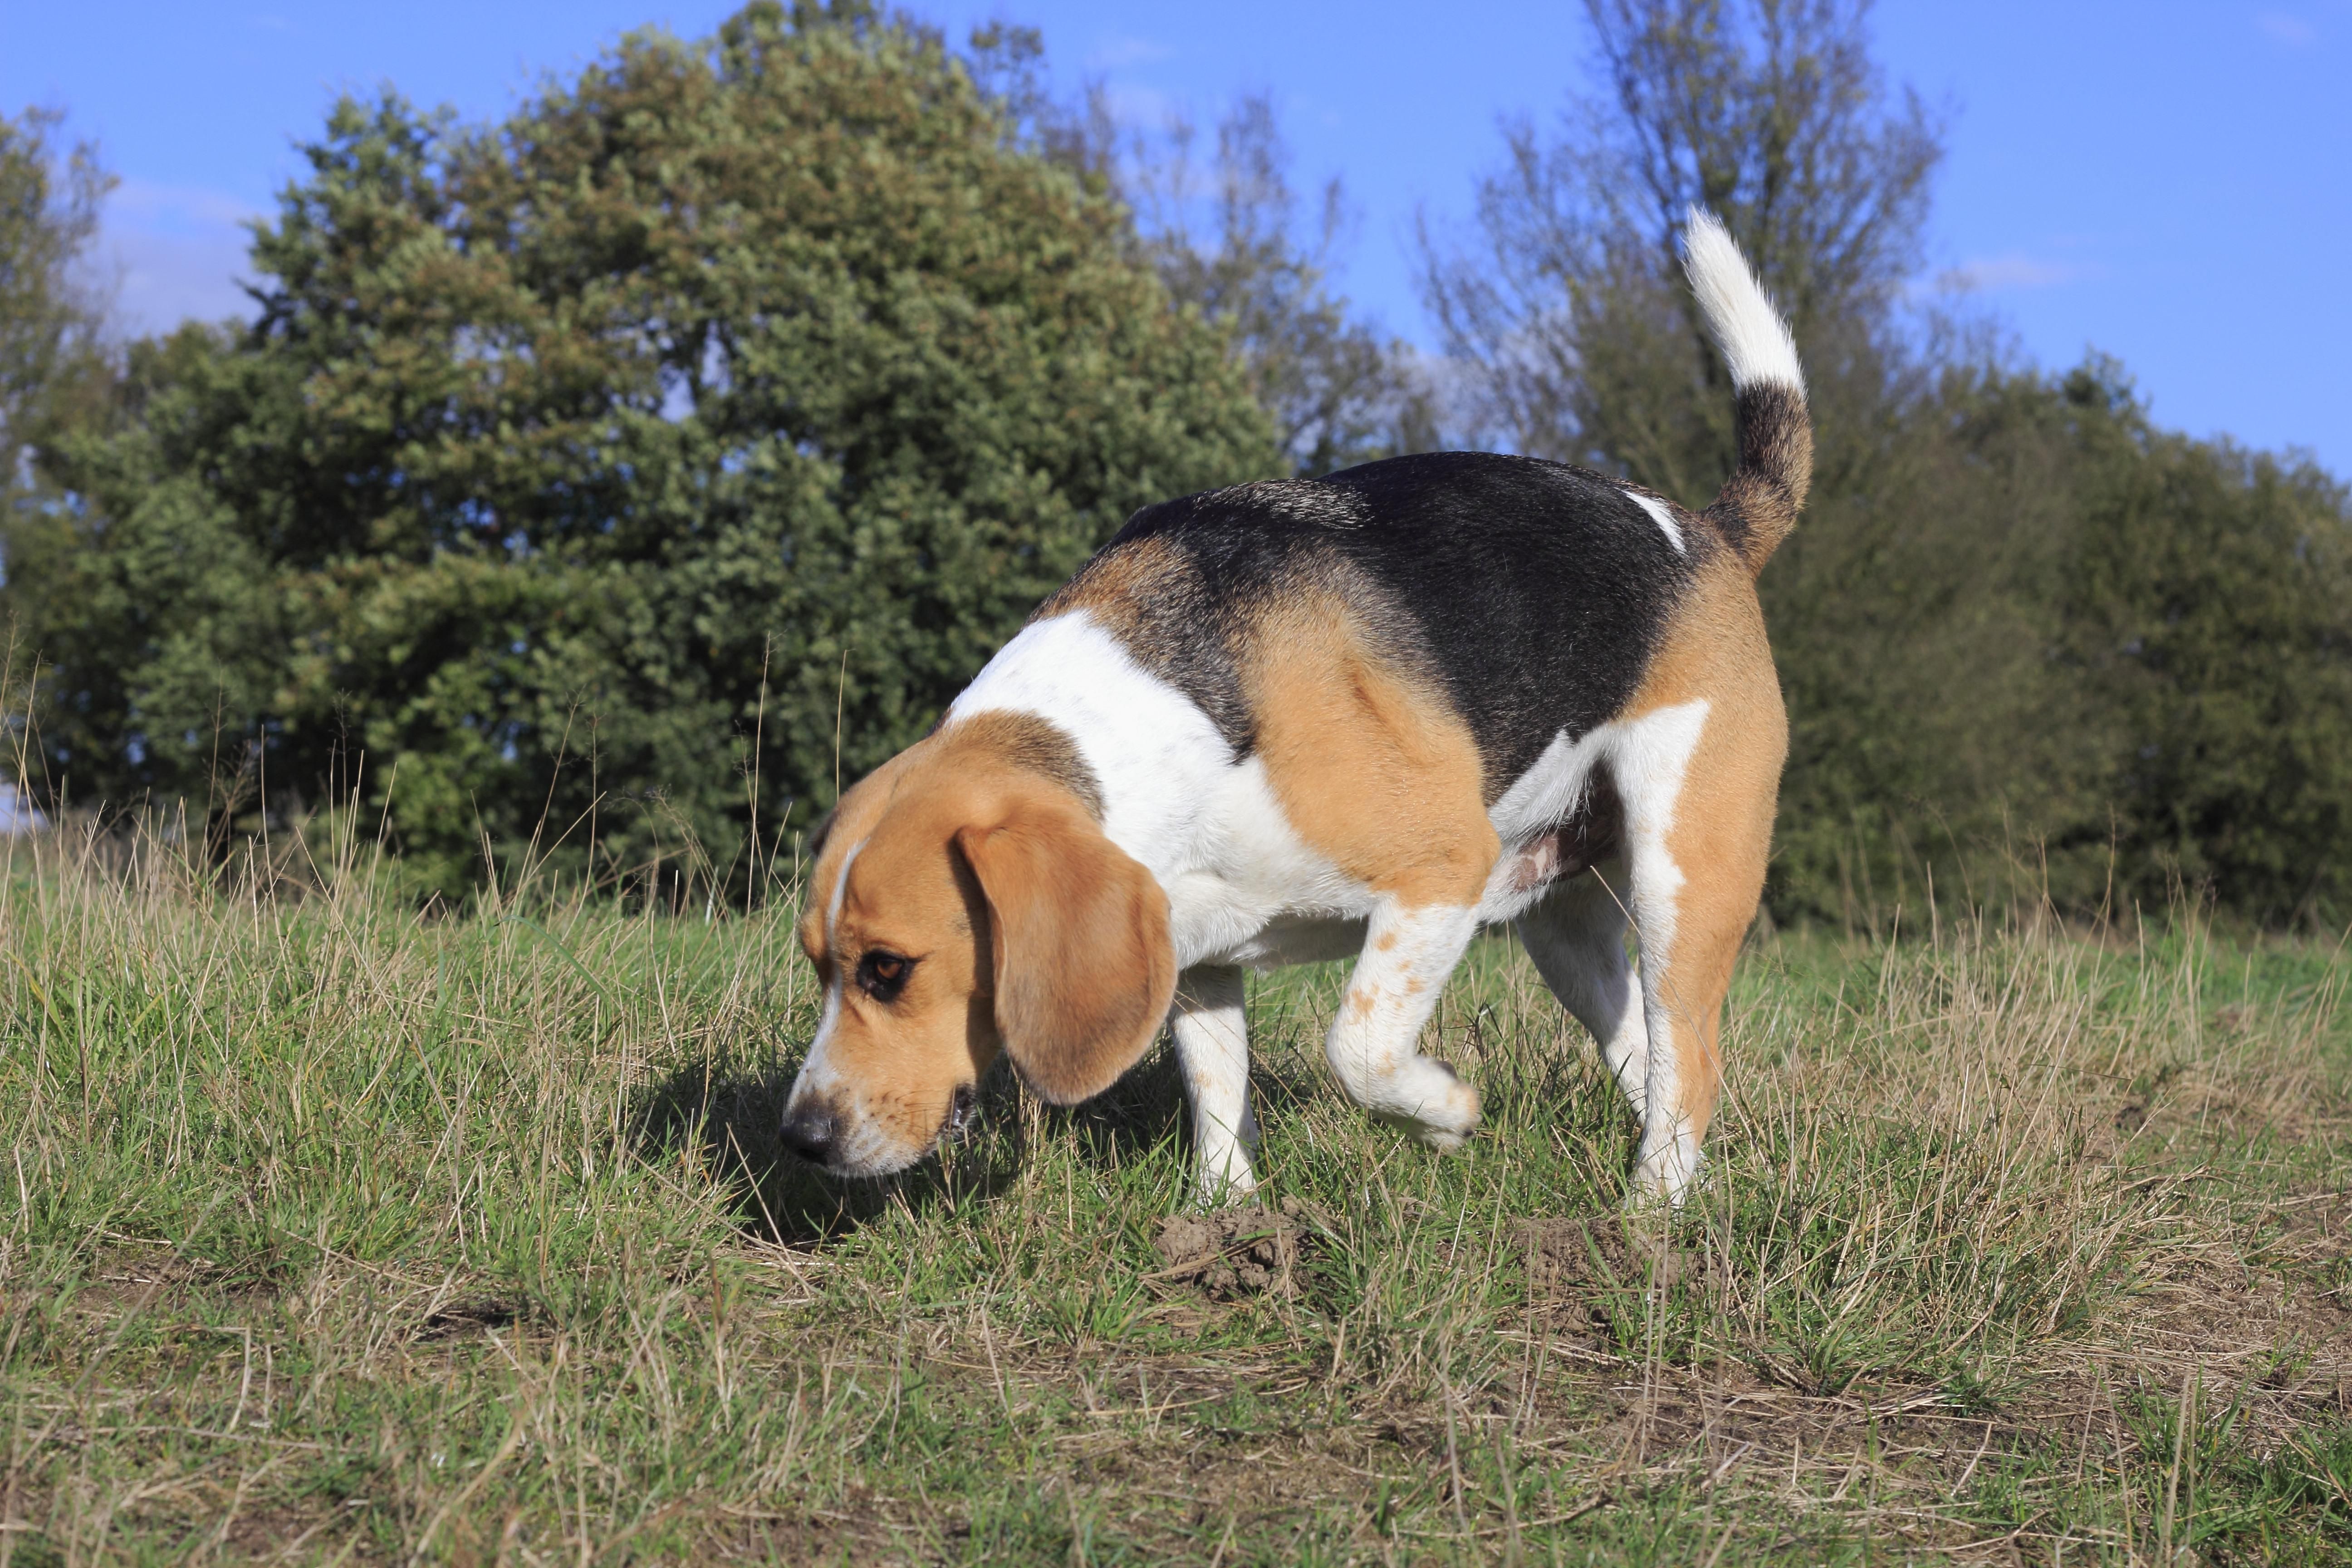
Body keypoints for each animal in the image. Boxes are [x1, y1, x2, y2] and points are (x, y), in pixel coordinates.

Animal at [781, 208, 1806, 1213]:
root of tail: (1706, 530)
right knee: (1644, 1050)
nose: (801, 1140)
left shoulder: (1442, 870)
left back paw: (1649, 1211)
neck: (1159, 713)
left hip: (1682, 877)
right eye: (818, 965)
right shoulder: (1188, 952)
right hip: (1561, 925)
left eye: (888, 969)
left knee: (1689, 1056)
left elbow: (1356, 1048)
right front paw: (1221, 1220)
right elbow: (1216, 1093)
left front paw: (1442, 1114)